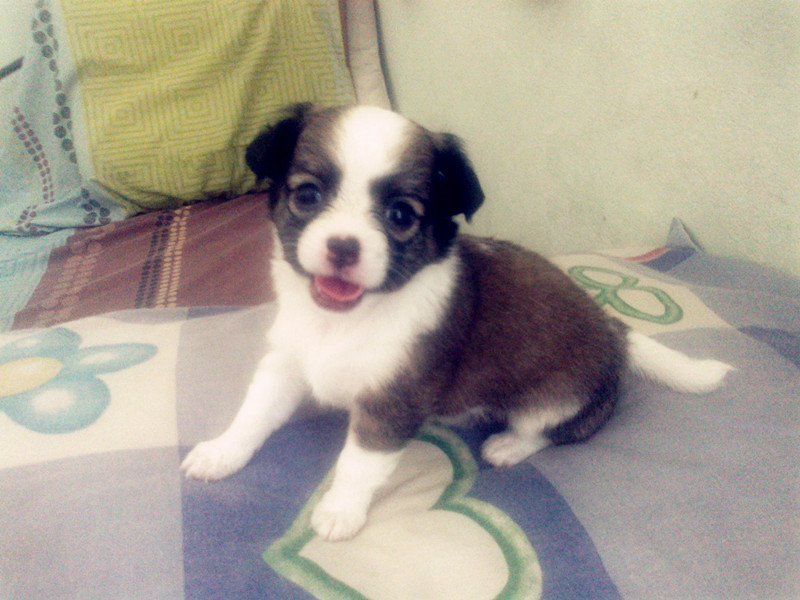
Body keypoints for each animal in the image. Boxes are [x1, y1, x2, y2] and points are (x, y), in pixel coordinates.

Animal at [181, 104, 733, 541]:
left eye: (400, 216)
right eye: (308, 196)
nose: (343, 246)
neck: (345, 321)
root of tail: (614, 331)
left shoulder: (389, 405)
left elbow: (357, 463)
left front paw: (340, 511)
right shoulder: (287, 364)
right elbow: (254, 414)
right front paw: (222, 452)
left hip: (556, 400)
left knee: (553, 429)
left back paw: (508, 444)